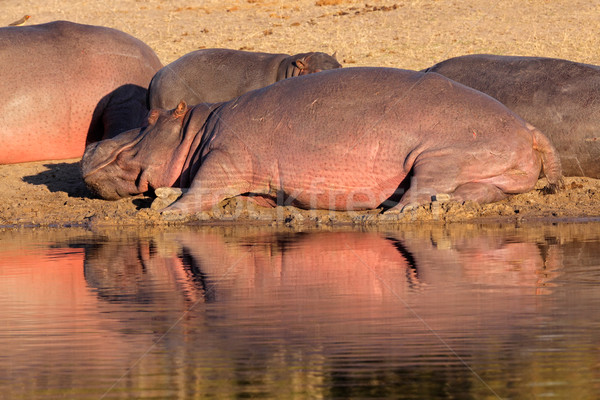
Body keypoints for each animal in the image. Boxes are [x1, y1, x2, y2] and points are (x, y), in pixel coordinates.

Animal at [82, 68, 564, 216]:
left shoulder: (225, 156)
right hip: (492, 172)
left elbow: (201, 188)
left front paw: (165, 211)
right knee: (477, 192)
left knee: (424, 188)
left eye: (150, 117)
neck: (197, 128)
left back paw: (393, 214)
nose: (87, 148)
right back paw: (449, 205)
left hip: (439, 155)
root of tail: (528, 127)